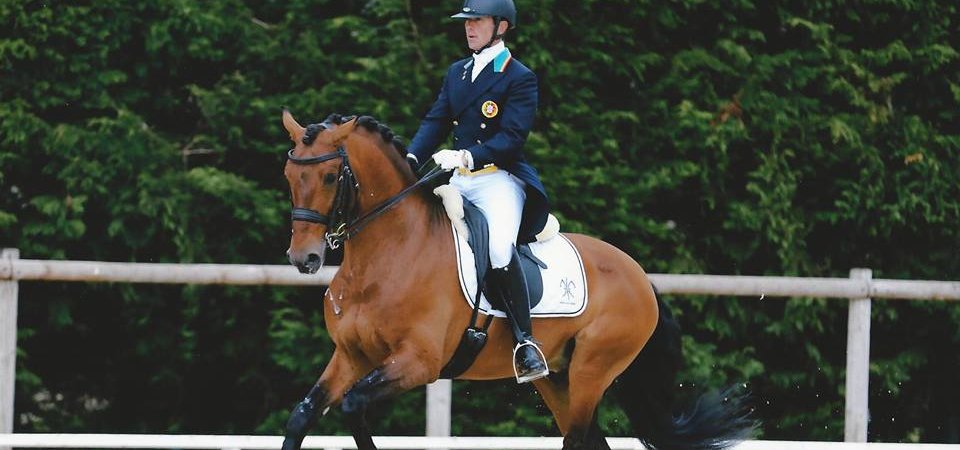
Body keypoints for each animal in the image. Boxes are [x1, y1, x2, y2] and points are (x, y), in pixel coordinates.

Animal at [276, 110, 752, 450]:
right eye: (289, 176)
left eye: (330, 176)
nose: (305, 258)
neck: (389, 252)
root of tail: (641, 277)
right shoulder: (351, 356)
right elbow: (301, 415)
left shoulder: (418, 362)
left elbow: (353, 406)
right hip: (557, 377)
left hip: (592, 371)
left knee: (577, 440)